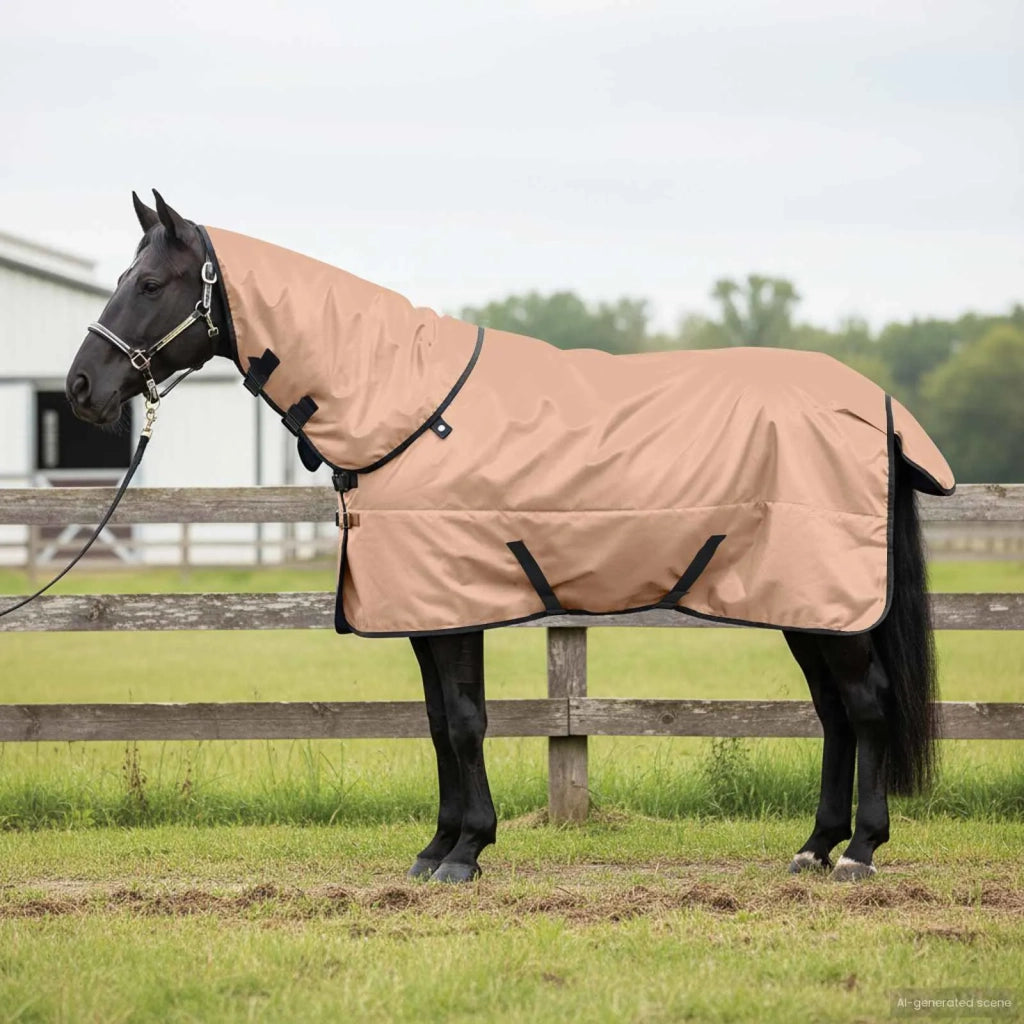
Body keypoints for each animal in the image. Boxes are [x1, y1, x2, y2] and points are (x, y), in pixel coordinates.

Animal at [65, 190, 948, 883]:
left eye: (149, 283)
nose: (80, 387)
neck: (405, 406)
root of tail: (877, 406)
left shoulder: (453, 605)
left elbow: (463, 720)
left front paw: (465, 853)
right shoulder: (424, 611)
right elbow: (436, 722)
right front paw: (437, 848)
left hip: (829, 603)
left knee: (866, 707)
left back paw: (859, 853)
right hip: (807, 606)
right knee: (835, 714)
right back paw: (814, 847)